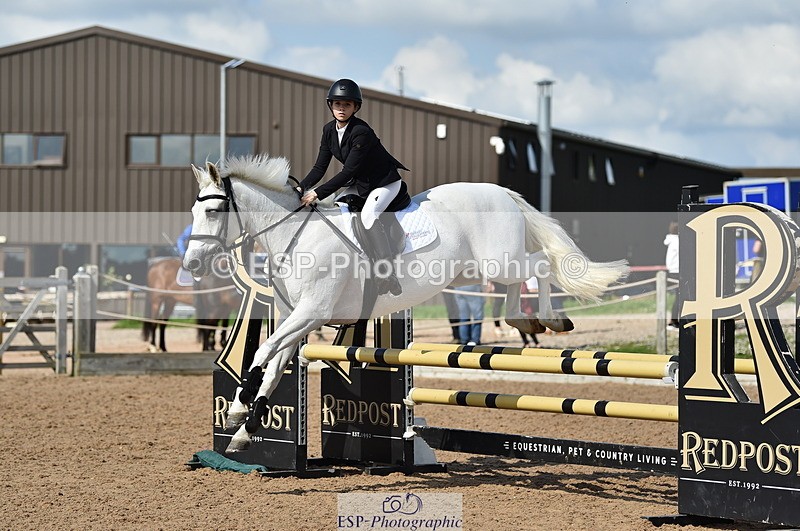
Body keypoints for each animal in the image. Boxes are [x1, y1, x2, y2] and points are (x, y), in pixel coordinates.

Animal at [183, 155, 629, 451]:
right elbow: (275, 365)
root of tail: (500, 191)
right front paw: (244, 429)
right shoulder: (300, 318)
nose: (191, 264)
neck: (296, 234)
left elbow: (263, 353)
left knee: (540, 264)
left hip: (498, 260)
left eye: (215, 209)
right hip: (478, 268)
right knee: (521, 279)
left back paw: (551, 320)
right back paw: (525, 321)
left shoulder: (312, 313)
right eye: (193, 209)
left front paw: (237, 410)